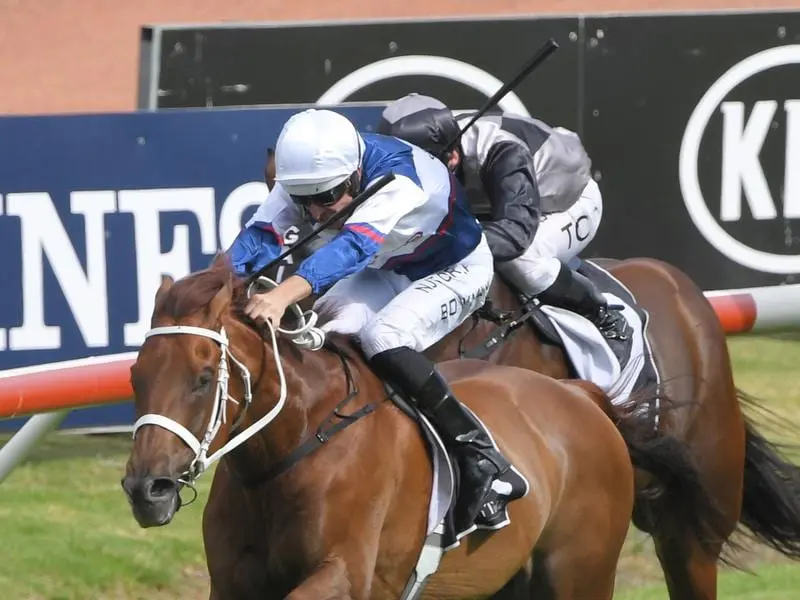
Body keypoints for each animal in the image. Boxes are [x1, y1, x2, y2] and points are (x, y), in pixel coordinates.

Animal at [120, 262, 720, 600]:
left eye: (202, 378)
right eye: (135, 375)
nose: (146, 489)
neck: (291, 449)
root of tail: (582, 396)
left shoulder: (345, 575)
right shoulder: (233, 583)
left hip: (580, 574)